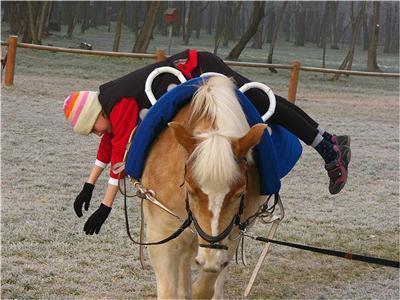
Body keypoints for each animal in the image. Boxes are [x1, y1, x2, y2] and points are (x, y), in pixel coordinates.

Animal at [139, 75, 268, 298]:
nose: (210, 255)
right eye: (191, 190)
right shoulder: (161, 234)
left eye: (239, 194)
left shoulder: (230, 237)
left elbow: (207, 284)